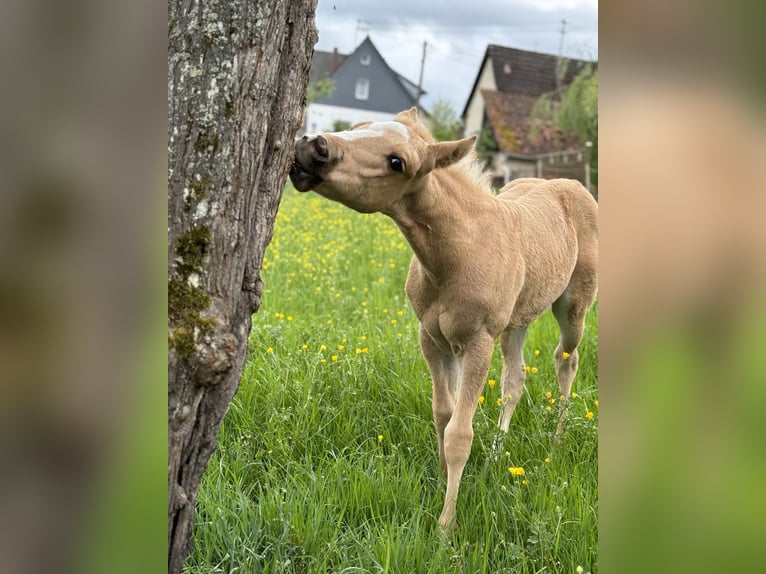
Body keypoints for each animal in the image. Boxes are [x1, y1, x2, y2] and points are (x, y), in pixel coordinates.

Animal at [292, 107, 596, 532]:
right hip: (516, 319)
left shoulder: (478, 342)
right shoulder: (432, 338)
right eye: (358, 128)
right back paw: (497, 454)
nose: (312, 148)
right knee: (514, 379)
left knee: (567, 361)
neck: (457, 252)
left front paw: (445, 526)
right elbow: (443, 413)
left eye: (397, 162)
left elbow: (459, 433)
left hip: (574, 306)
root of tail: (571, 183)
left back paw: (557, 438)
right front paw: (439, 477)